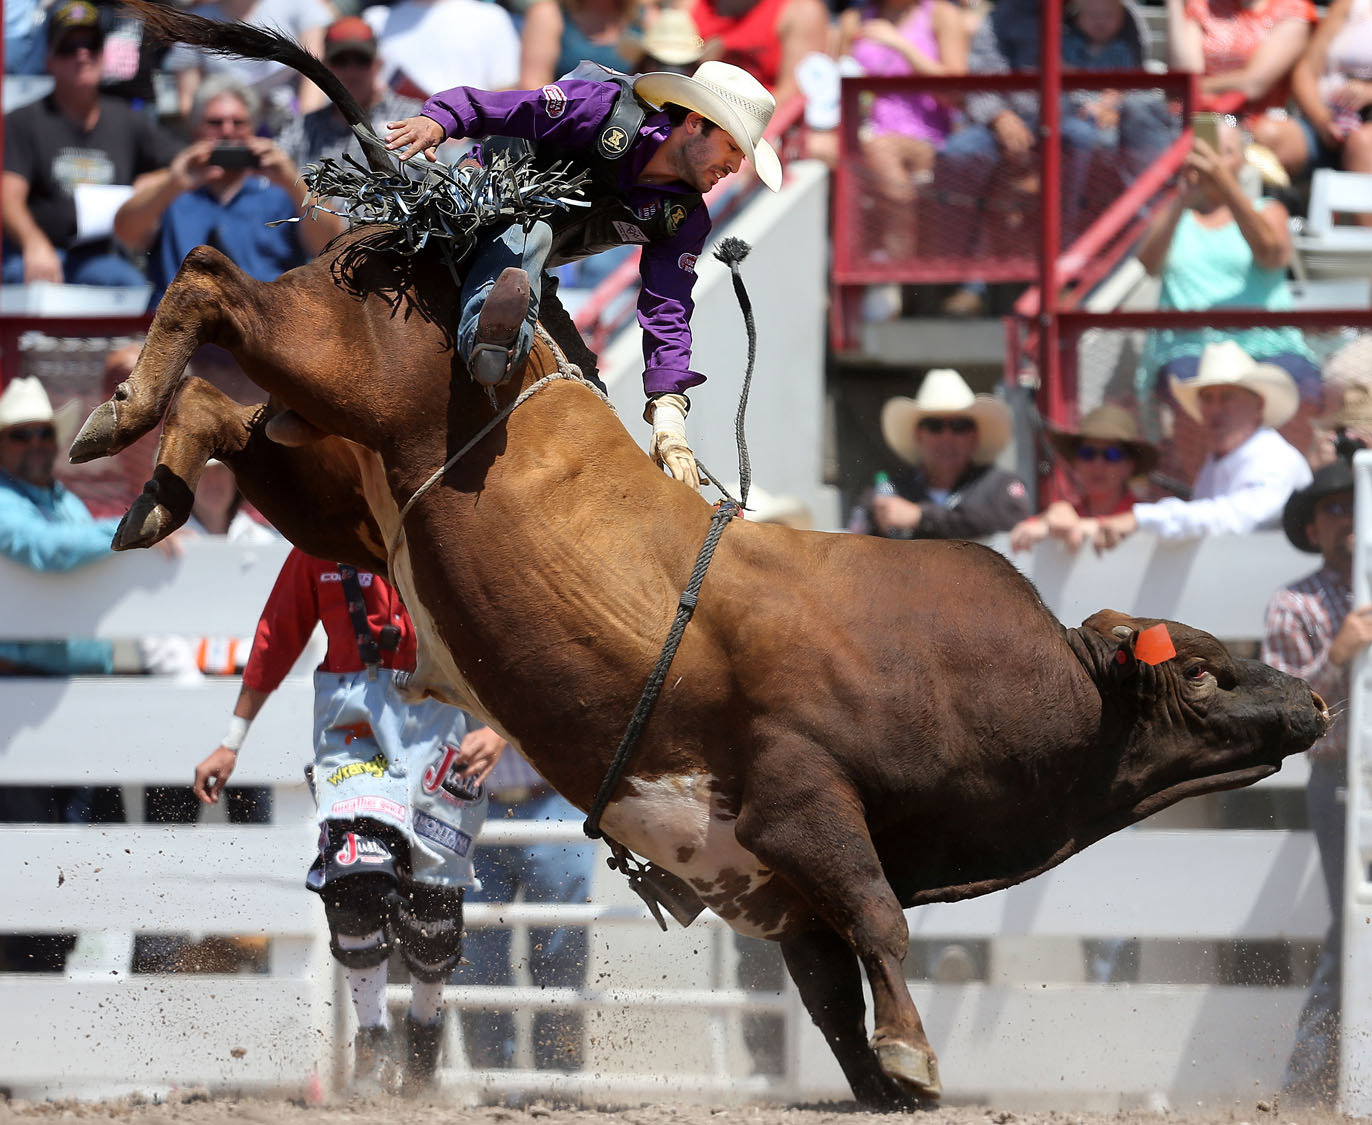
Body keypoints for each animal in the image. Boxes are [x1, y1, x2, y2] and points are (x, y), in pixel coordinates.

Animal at [77, 2, 1328, 1108]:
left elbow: (835, 1003)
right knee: (208, 278)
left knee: (222, 411)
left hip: (328, 483)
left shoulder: (779, 896)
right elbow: (883, 925)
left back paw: (152, 488)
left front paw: (891, 1081)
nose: (1313, 703)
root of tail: (419, 221)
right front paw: (918, 1060)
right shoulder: (807, 813)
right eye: (1206, 671)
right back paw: (124, 412)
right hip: (329, 360)